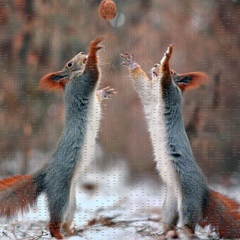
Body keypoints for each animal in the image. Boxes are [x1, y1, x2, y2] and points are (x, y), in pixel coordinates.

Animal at [0, 36, 116, 239]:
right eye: (69, 63)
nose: (81, 53)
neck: (70, 80)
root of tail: (46, 173)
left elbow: (97, 92)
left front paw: (105, 92)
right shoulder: (82, 84)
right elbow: (93, 73)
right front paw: (94, 49)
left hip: (71, 201)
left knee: (66, 219)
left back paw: (72, 231)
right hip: (60, 191)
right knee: (53, 223)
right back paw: (60, 233)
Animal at [121, 47, 240, 238]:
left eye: (173, 72)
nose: (155, 65)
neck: (157, 99)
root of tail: (204, 191)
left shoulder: (170, 93)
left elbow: (166, 83)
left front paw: (167, 59)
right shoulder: (150, 99)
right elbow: (143, 86)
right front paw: (132, 64)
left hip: (188, 199)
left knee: (189, 225)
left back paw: (185, 232)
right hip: (170, 205)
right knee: (169, 223)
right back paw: (163, 234)